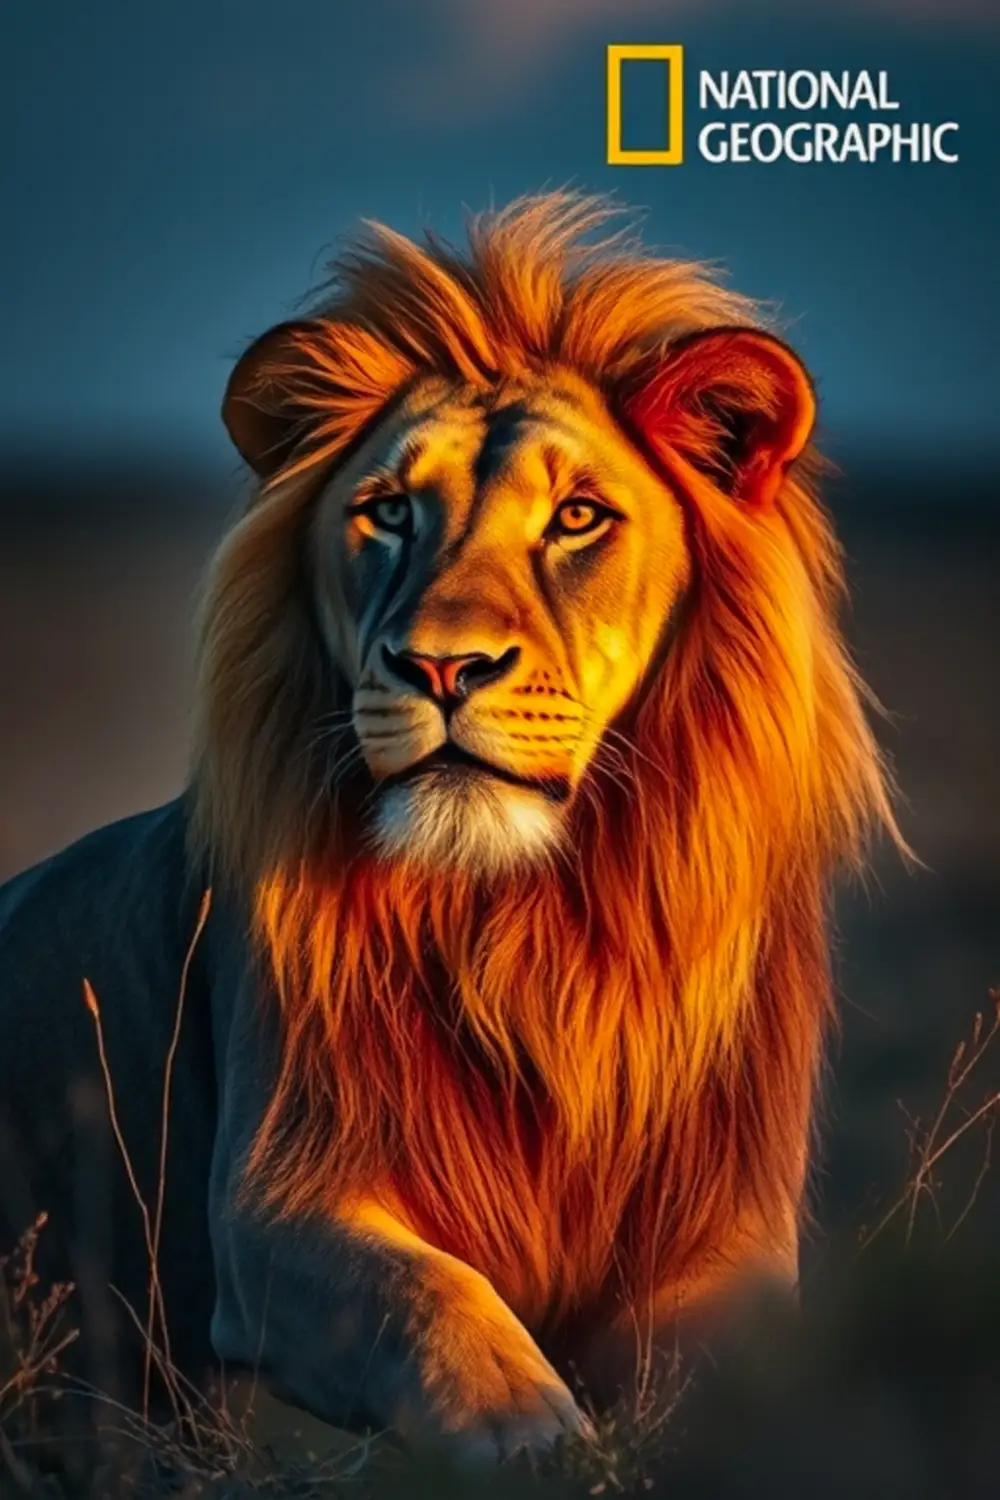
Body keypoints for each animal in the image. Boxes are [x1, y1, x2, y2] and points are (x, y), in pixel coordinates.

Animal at [0, 193, 900, 1464]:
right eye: (388, 511)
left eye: (577, 517)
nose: (437, 665)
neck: (530, 921)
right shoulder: (278, 1204)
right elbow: (437, 1308)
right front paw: (546, 1446)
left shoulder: (730, 1234)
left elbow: (722, 1380)